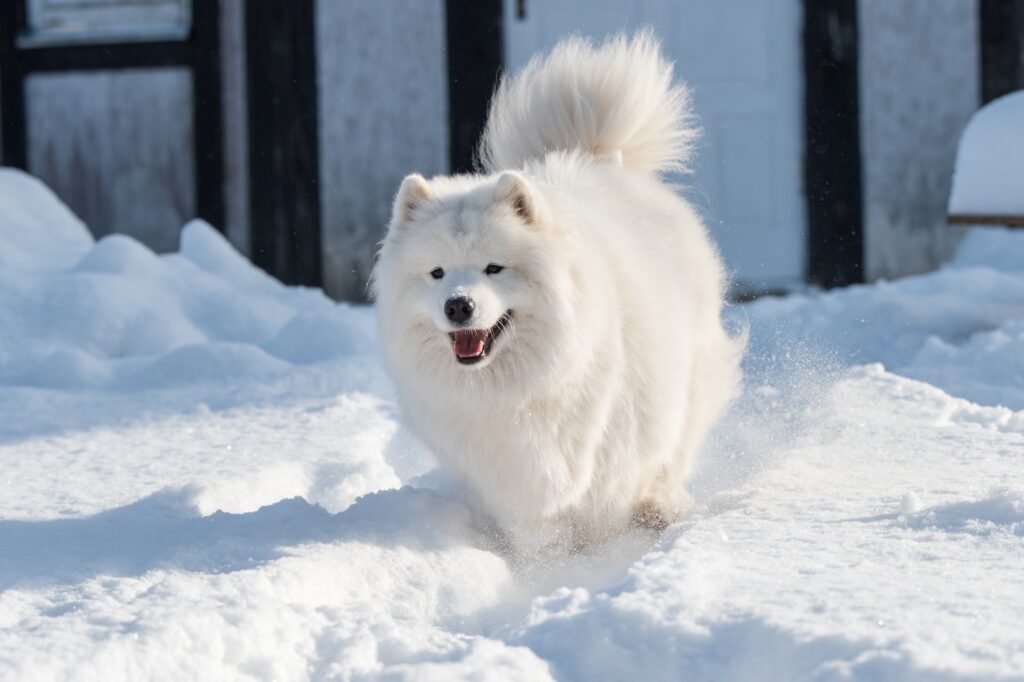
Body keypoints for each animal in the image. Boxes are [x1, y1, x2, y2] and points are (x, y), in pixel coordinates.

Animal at [374, 33, 745, 548]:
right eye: (437, 273)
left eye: (494, 268)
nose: (458, 306)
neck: (515, 388)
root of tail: (597, 155)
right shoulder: (498, 464)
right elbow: (532, 522)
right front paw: (544, 554)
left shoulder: (610, 425)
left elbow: (610, 489)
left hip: (688, 371)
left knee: (677, 445)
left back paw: (663, 504)